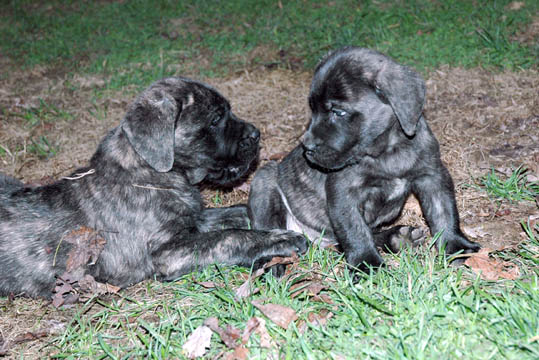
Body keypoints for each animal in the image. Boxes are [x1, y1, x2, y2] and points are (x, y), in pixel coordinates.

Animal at [0, 76, 308, 298]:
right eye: (215, 119)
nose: (256, 135)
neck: (148, 170)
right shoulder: (167, 251)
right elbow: (227, 237)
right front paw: (280, 240)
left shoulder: (192, 220)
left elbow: (234, 213)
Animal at [249, 47, 480, 270]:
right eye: (313, 109)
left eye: (338, 112)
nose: (307, 146)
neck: (388, 150)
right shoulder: (344, 192)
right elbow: (355, 230)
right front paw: (366, 264)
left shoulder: (432, 177)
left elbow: (444, 212)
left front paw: (456, 247)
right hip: (265, 178)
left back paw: (398, 238)